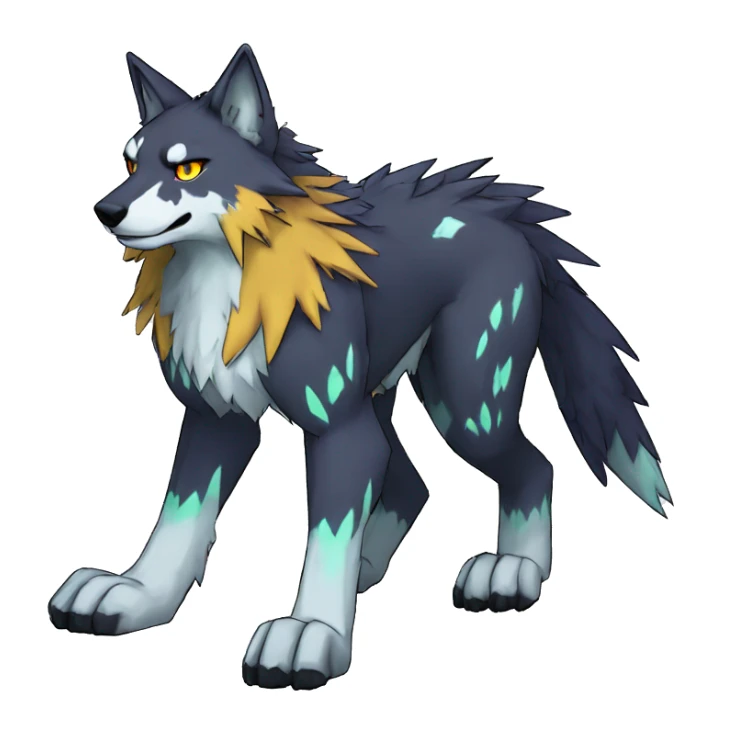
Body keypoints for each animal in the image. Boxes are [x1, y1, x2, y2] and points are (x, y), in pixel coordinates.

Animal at [50, 44, 671, 689]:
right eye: (129, 162)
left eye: (188, 169)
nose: (105, 209)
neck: (229, 282)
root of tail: (507, 220)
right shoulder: (218, 417)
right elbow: (178, 518)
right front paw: (137, 594)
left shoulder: (335, 427)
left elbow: (326, 531)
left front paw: (311, 631)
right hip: (387, 397)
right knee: (411, 483)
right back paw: (371, 566)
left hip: (466, 404)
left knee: (533, 465)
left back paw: (512, 569)